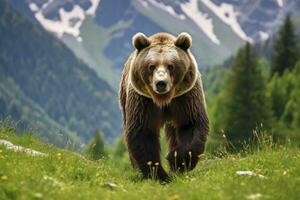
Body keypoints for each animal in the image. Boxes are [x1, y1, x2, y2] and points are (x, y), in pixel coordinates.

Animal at [119, 32, 209, 182]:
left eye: (171, 65)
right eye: (151, 66)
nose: (161, 83)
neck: (164, 100)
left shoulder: (185, 98)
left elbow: (191, 124)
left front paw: (177, 160)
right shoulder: (144, 101)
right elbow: (143, 132)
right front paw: (159, 174)